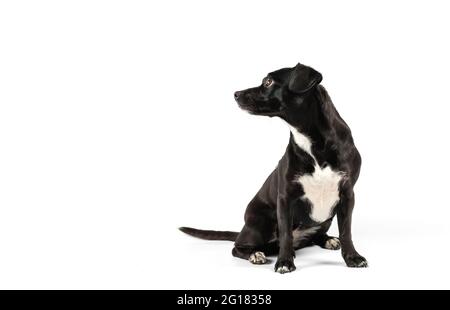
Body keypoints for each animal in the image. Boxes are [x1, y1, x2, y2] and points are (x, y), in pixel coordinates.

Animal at [181, 63, 368, 274]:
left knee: (312, 237)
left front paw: (353, 257)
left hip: (324, 220)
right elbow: (286, 234)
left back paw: (327, 240)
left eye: (268, 81)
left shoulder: (347, 194)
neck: (312, 140)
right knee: (238, 247)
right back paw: (256, 254)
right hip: (262, 223)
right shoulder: (285, 197)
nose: (236, 94)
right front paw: (284, 262)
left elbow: (346, 231)